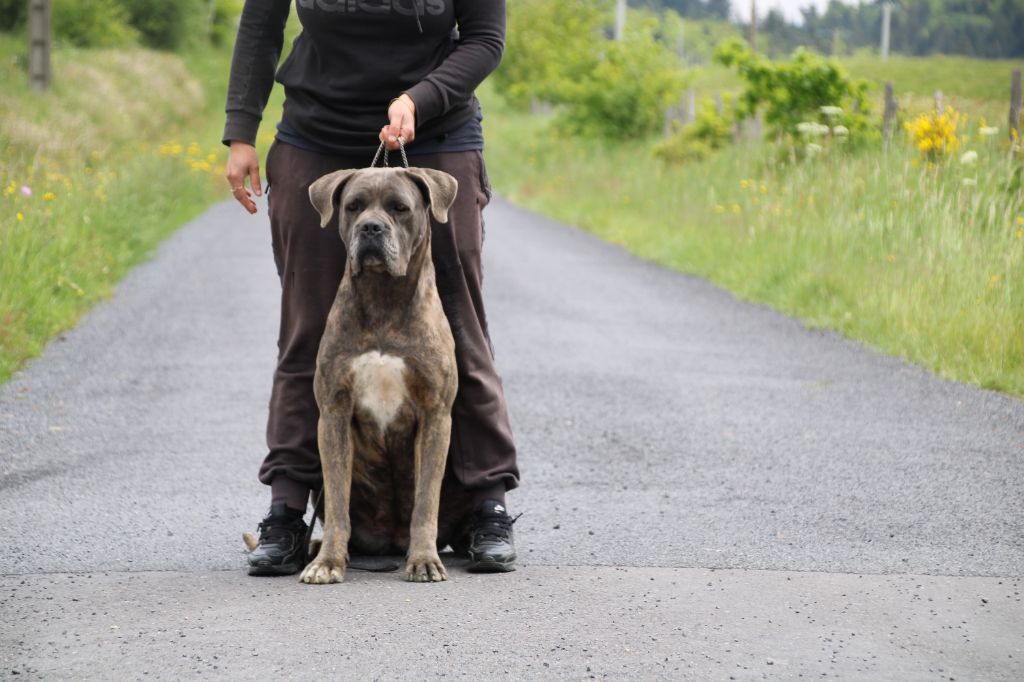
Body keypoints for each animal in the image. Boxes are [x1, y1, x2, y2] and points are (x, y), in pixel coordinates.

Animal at [294, 163, 473, 577]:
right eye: (353, 207)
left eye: (399, 208)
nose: (371, 228)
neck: (383, 299)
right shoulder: (334, 413)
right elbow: (339, 502)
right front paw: (328, 563)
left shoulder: (435, 414)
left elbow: (425, 502)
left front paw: (424, 560)